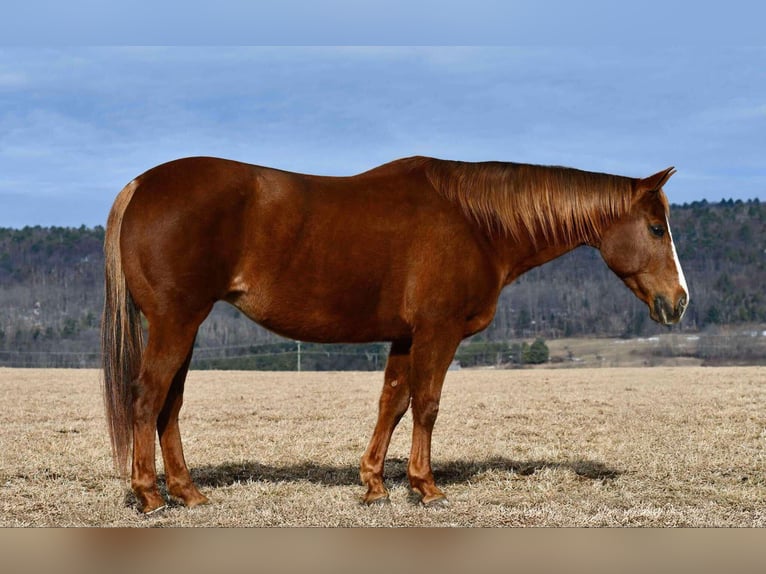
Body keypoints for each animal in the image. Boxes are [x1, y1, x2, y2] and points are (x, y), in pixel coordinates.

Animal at [102, 156, 688, 512]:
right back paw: (150, 496)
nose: (678, 302)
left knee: (169, 406)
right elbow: (426, 404)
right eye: (656, 228)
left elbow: (393, 403)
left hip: (185, 326)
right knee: (147, 398)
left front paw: (375, 484)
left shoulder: (406, 337)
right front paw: (425, 487)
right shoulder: (438, 331)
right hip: (176, 322)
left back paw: (188, 492)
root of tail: (140, 185)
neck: (475, 222)